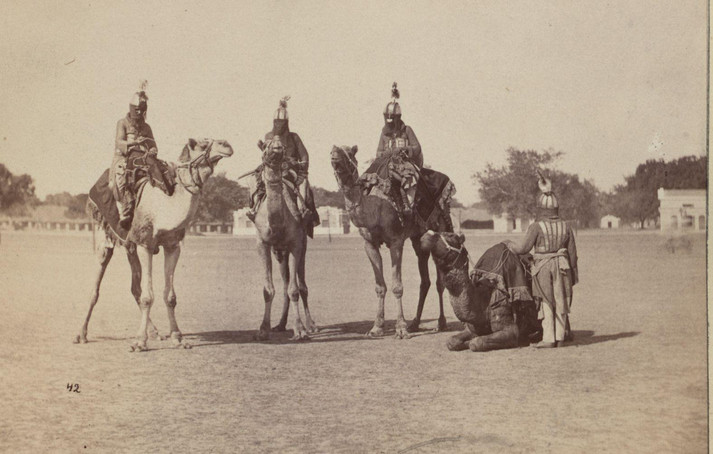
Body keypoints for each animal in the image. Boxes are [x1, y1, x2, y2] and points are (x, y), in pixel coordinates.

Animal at [75, 139, 234, 351]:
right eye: (201, 143)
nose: (226, 145)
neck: (164, 208)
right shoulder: (145, 244)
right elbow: (148, 296)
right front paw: (139, 343)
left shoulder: (172, 246)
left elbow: (170, 296)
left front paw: (178, 338)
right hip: (105, 236)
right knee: (96, 288)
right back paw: (81, 334)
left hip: (130, 246)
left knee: (135, 287)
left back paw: (155, 332)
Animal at [252, 139, 317, 341]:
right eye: (265, 145)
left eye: (278, 142)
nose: (277, 146)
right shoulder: (263, 244)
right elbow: (268, 290)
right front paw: (263, 330)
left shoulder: (296, 244)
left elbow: (295, 290)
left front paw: (300, 330)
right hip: (279, 252)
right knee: (285, 284)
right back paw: (280, 325)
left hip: (303, 244)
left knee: (302, 285)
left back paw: (311, 325)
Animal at [330, 145, 451, 339]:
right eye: (332, 151)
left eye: (349, 152)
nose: (335, 154)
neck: (375, 209)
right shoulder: (370, 244)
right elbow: (380, 286)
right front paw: (376, 327)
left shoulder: (396, 242)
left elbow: (397, 286)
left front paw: (401, 329)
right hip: (418, 238)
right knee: (424, 279)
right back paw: (415, 323)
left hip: (439, 227)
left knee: (440, 281)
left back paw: (441, 322)